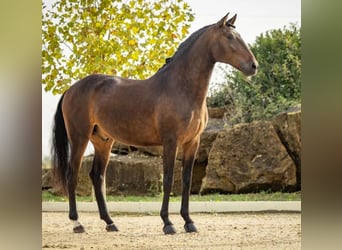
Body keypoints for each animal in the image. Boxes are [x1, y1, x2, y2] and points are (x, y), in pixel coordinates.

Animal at [51, 12, 256, 235]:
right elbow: (168, 179)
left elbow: (186, 181)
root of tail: (72, 89)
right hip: (79, 137)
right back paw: (77, 223)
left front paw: (189, 222)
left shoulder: (193, 142)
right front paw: (168, 223)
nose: (253, 66)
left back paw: (110, 222)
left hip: (103, 141)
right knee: (72, 174)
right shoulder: (170, 142)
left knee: (97, 176)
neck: (180, 88)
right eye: (229, 37)